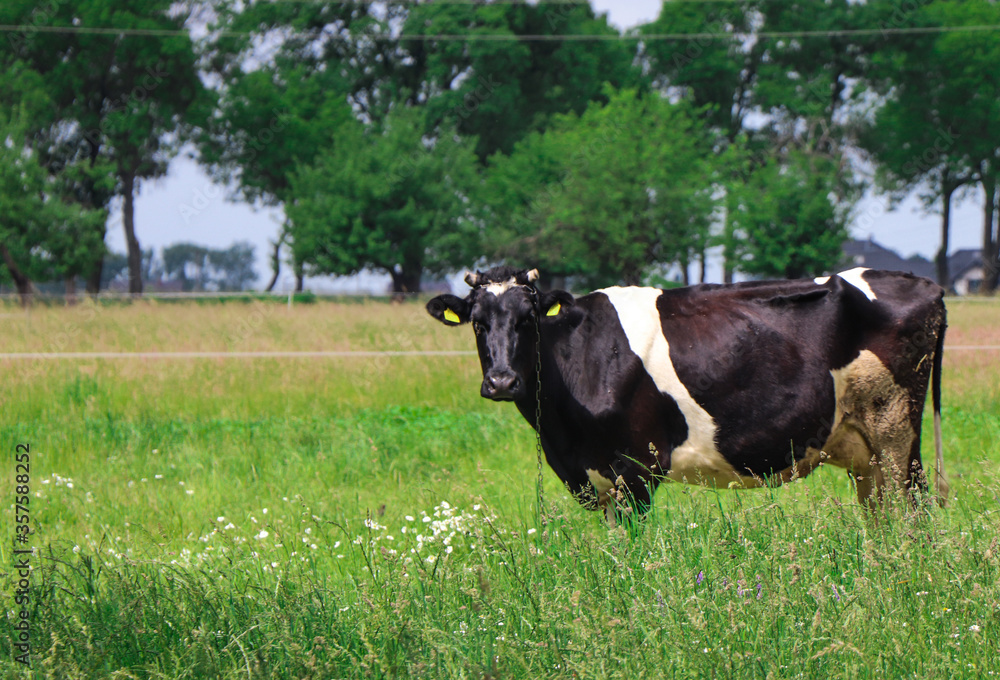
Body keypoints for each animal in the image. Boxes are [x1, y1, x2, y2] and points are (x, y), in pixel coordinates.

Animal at [426, 266, 948, 516]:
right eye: (477, 323)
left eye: (528, 320)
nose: (501, 381)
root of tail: (926, 284)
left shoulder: (633, 472)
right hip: (866, 454)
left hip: (896, 432)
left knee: (914, 512)